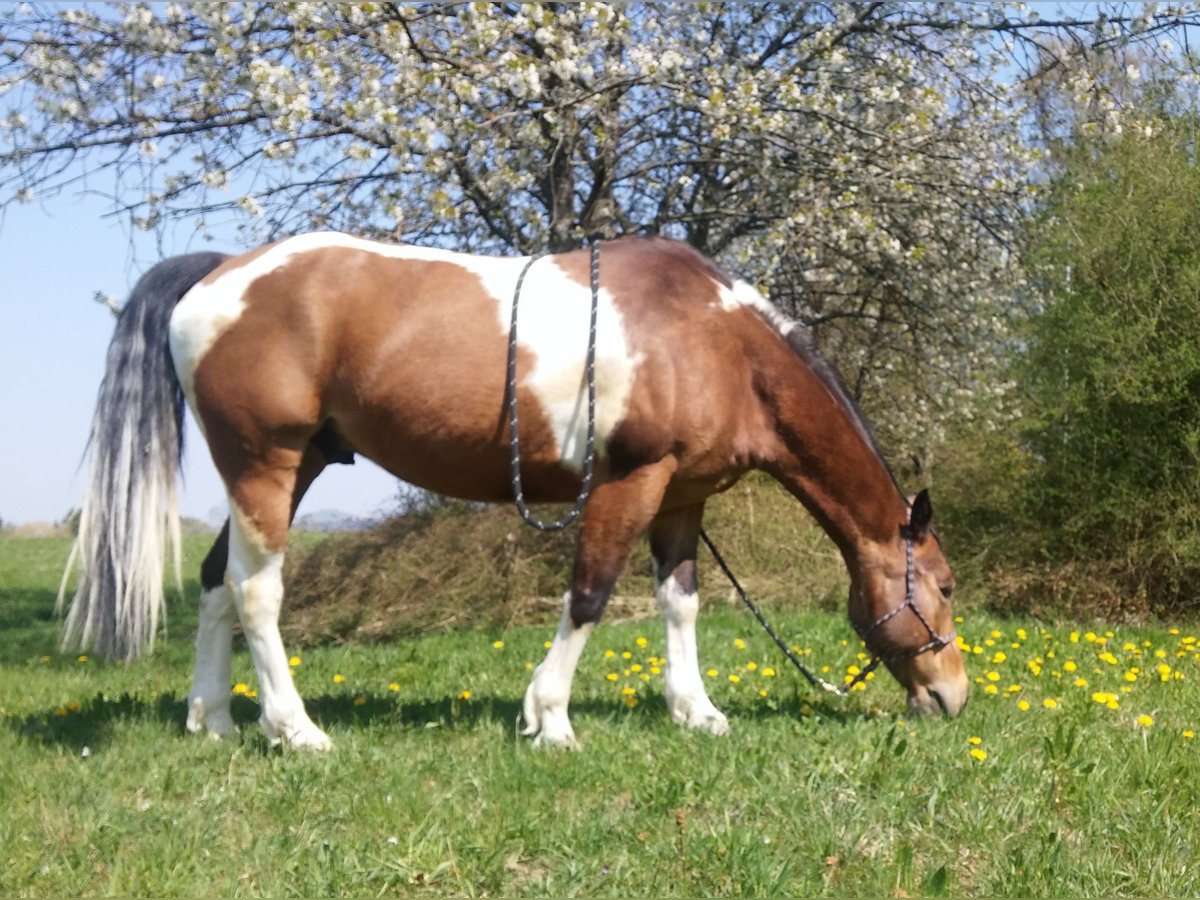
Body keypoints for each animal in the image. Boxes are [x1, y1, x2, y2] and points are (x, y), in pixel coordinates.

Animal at [60, 229, 969, 748]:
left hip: (298, 465)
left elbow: (679, 604)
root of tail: (219, 274)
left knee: (217, 583)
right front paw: (551, 718)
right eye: (948, 586)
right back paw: (296, 730)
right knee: (255, 593)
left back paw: (212, 719)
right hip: (265, 463)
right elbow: (591, 595)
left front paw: (697, 713)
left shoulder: (682, 497)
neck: (715, 342)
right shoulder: (631, 482)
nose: (953, 696)